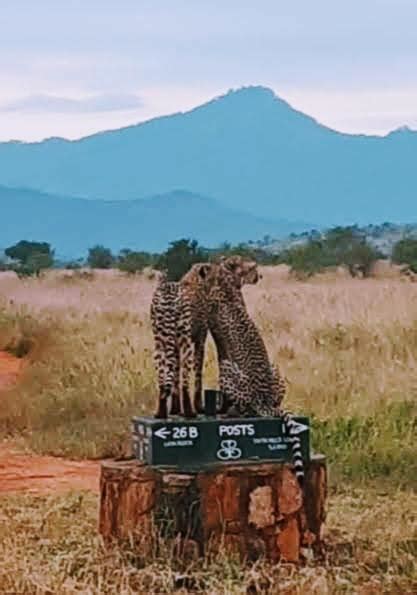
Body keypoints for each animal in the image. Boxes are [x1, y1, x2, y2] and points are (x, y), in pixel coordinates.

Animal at [150, 274, 195, 420]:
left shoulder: (173, 349)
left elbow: (174, 378)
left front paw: (174, 410)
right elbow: (178, 380)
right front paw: (178, 410)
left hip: (158, 348)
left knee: (162, 382)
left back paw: (161, 413)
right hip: (187, 345)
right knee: (185, 382)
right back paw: (190, 413)